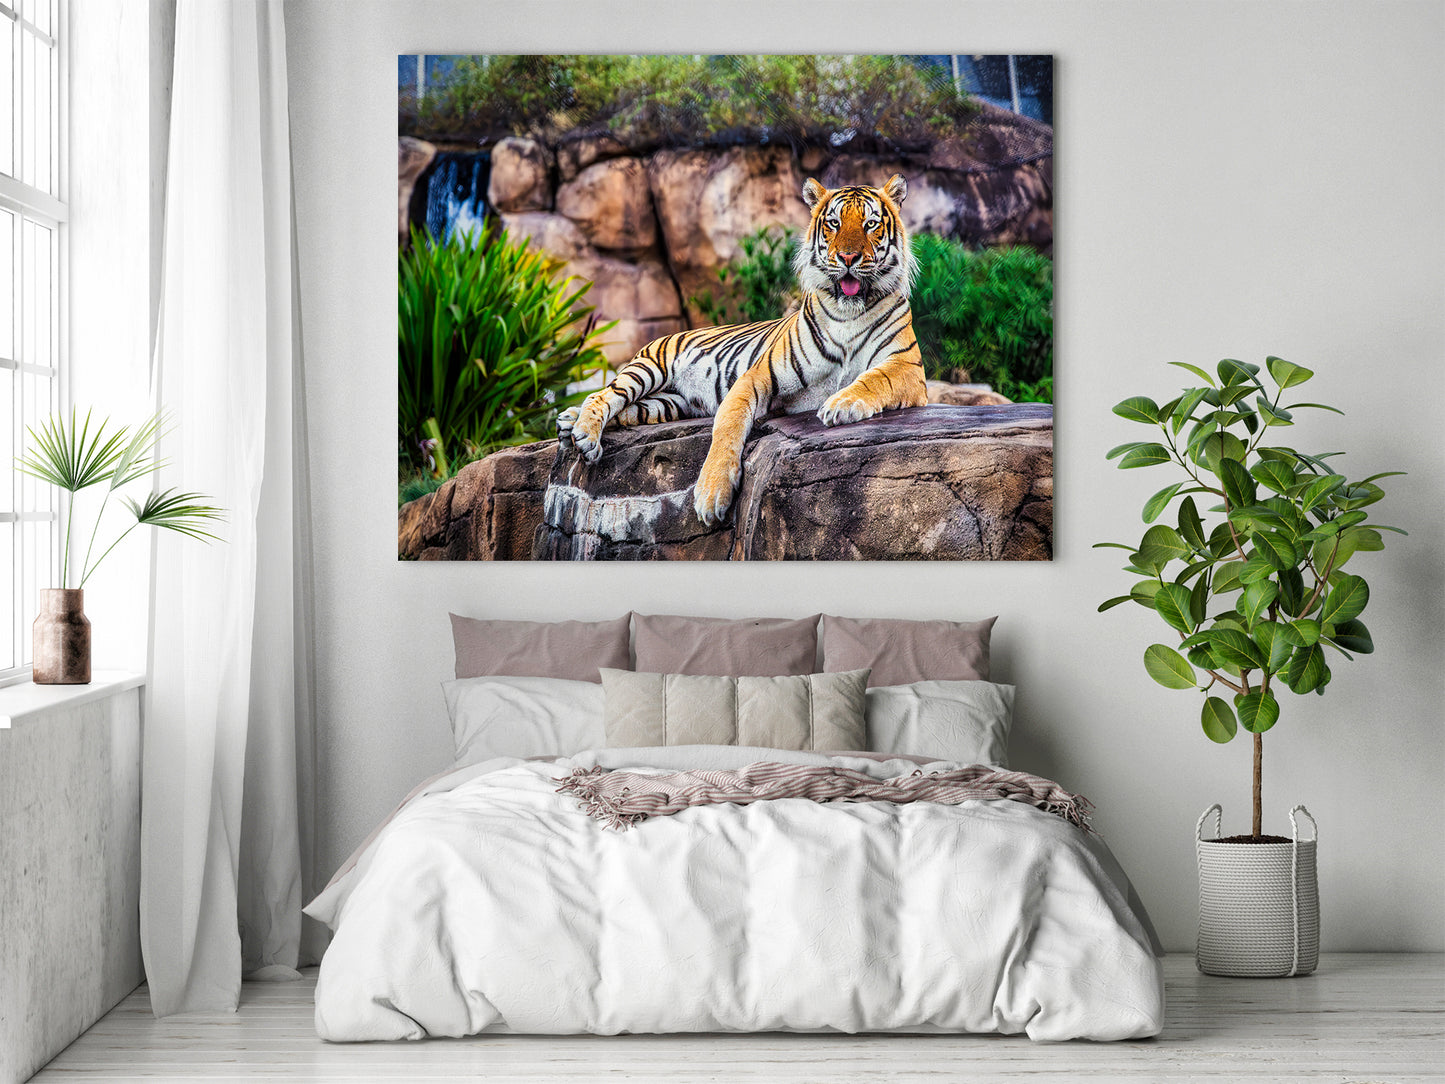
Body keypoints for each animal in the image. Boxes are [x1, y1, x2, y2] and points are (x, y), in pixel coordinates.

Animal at [555, 173, 927, 526]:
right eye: (834, 223)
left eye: (870, 224)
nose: (848, 257)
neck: (848, 312)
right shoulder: (757, 375)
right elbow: (727, 424)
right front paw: (711, 495)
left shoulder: (907, 368)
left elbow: (874, 380)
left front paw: (841, 404)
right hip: (649, 367)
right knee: (604, 395)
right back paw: (583, 433)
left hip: (667, 404)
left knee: (627, 410)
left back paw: (570, 421)